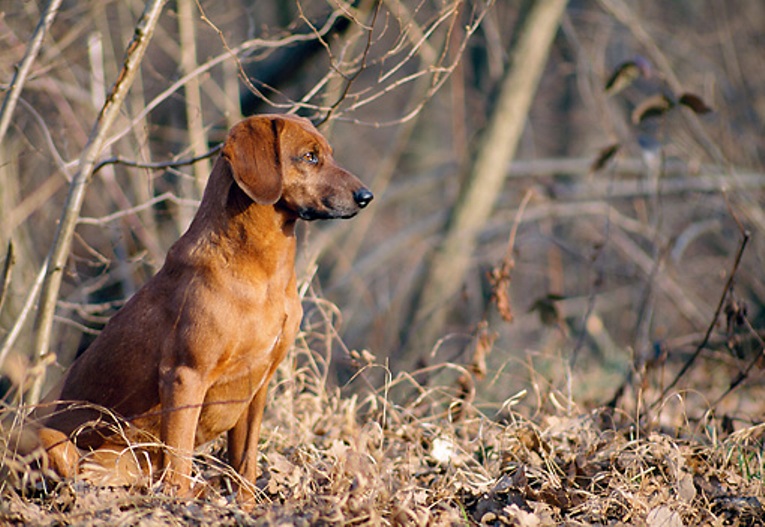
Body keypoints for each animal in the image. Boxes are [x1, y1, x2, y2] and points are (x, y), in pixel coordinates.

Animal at [23, 114, 370, 500]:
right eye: (309, 157)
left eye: (329, 154)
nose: (365, 197)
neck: (263, 274)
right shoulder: (185, 376)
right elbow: (180, 462)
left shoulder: (259, 384)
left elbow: (245, 467)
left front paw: (244, 506)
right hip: (57, 442)